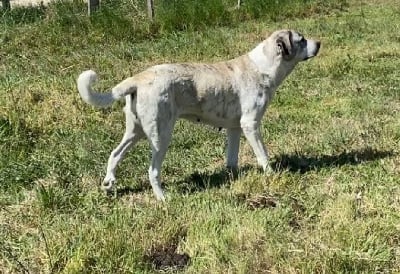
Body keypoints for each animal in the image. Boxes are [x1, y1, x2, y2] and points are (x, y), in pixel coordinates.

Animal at [78, 29, 322, 201]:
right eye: (301, 40)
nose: (320, 43)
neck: (263, 67)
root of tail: (138, 78)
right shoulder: (250, 125)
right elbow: (263, 155)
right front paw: (272, 175)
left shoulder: (235, 128)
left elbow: (231, 159)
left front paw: (233, 178)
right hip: (160, 136)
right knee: (152, 171)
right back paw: (162, 198)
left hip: (135, 132)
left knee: (115, 154)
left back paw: (109, 182)